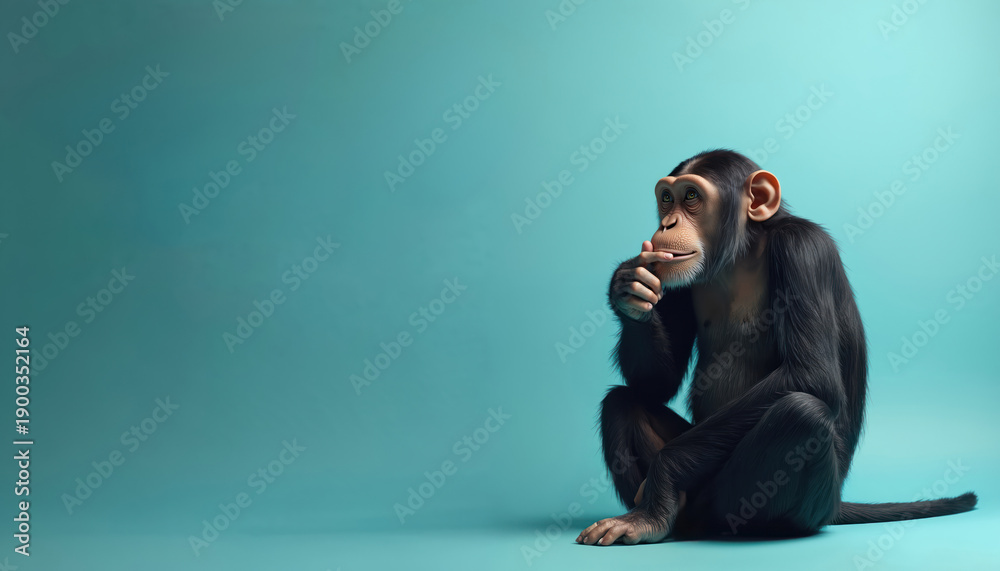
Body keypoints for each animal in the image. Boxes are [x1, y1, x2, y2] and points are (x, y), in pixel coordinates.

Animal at [576, 149, 977, 546]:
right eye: (666, 198)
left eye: (690, 196)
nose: (668, 224)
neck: (740, 252)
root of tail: (835, 506)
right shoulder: (673, 273)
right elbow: (658, 384)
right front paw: (627, 285)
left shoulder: (803, 249)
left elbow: (810, 375)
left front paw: (658, 488)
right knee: (621, 401)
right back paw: (671, 524)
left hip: (785, 505)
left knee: (801, 414)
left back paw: (663, 517)